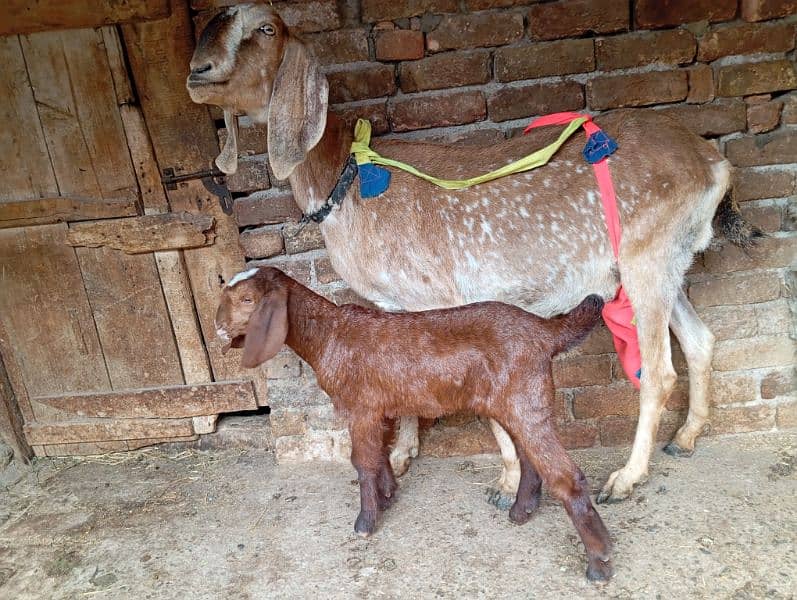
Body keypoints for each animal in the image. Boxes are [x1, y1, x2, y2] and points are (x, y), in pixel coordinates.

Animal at [187, 2, 760, 504]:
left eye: (265, 29)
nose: (197, 70)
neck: (347, 183)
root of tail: (714, 163)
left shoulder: (443, 296)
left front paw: (506, 480)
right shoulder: (395, 303)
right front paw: (404, 455)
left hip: (647, 257)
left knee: (659, 372)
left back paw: (626, 478)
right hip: (667, 262)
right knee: (701, 341)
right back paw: (685, 439)